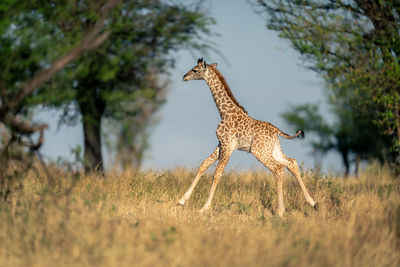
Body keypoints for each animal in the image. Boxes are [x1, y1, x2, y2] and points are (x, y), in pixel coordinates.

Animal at [177, 58, 318, 218]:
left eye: (195, 70)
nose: (184, 76)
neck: (224, 112)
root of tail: (276, 131)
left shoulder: (227, 145)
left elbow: (217, 173)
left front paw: (204, 208)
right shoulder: (221, 144)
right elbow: (204, 164)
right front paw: (181, 201)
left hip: (259, 152)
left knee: (278, 168)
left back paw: (281, 211)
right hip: (273, 150)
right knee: (291, 163)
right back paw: (313, 203)